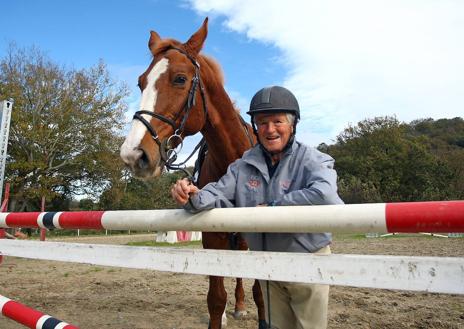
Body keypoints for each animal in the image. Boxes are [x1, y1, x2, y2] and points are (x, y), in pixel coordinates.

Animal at [119, 17, 264, 328]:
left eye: (180, 79)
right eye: (140, 82)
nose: (133, 155)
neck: (232, 158)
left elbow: (261, 292)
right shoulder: (212, 237)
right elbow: (215, 298)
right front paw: (220, 313)